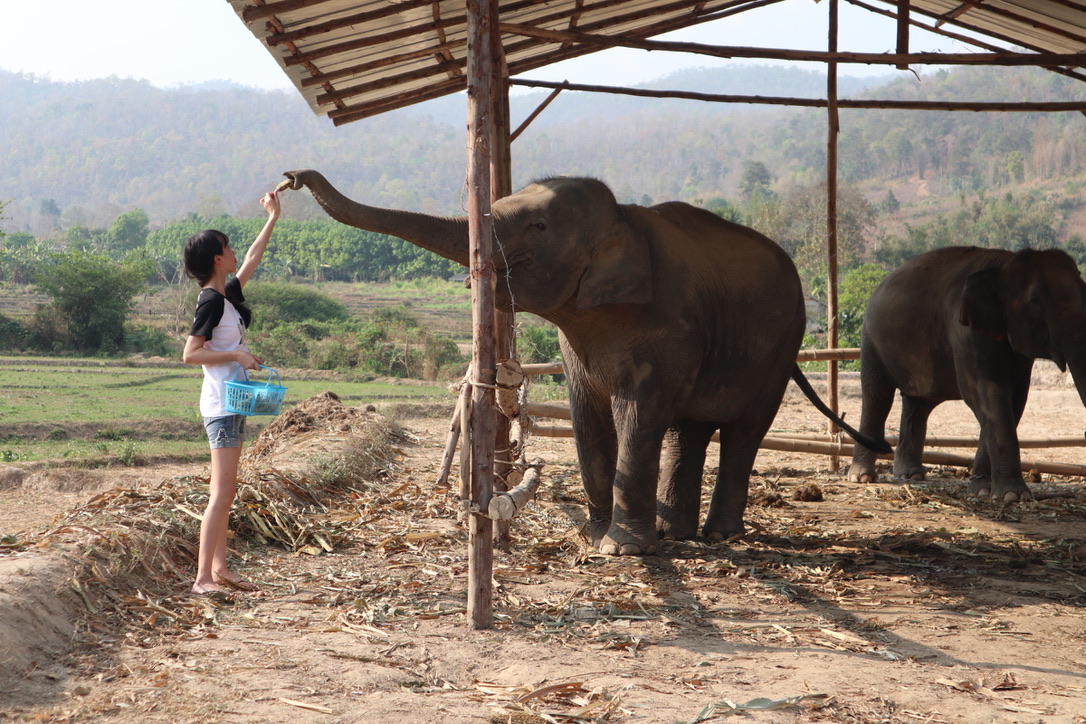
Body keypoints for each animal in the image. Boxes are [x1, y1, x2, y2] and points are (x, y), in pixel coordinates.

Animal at [284, 170, 886, 555]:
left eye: (539, 226)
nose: (291, 177)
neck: (623, 220)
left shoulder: (666, 326)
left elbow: (637, 416)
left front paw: (619, 551)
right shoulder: (580, 343)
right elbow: (587, 414)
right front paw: (596, 538)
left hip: (779, 347)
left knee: (743, 431)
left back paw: (717, 537)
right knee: (688, 432)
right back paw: (675, 534)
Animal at [847, 246, 1086, 501]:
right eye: (1034, 301)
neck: (1004, 264)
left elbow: (1014, 400)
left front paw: (983, 489)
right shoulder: (964, 332)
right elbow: (984, 393)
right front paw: (1012, 495)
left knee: (919, 404)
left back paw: (911, 475)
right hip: (871, 341)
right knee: (877, 396)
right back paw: (862, 477)